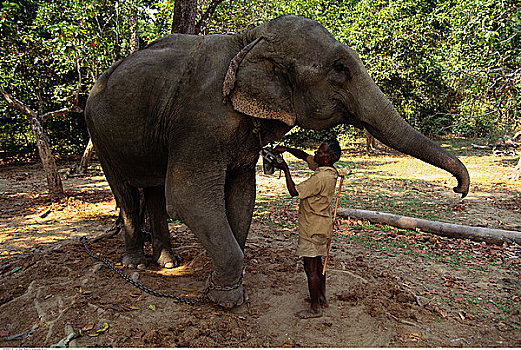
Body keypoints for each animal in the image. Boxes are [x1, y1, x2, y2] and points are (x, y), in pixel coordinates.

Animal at [83, 15, 470, 308]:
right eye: (340, 68)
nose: (459, 189)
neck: (247, 39)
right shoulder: (200, 119)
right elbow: (186, 196)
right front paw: (224, 299)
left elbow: (242, 194)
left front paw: (228, 286)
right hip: (97, 131)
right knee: (126, 192)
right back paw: (135, 262)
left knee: (152, 189)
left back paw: (167, 262)